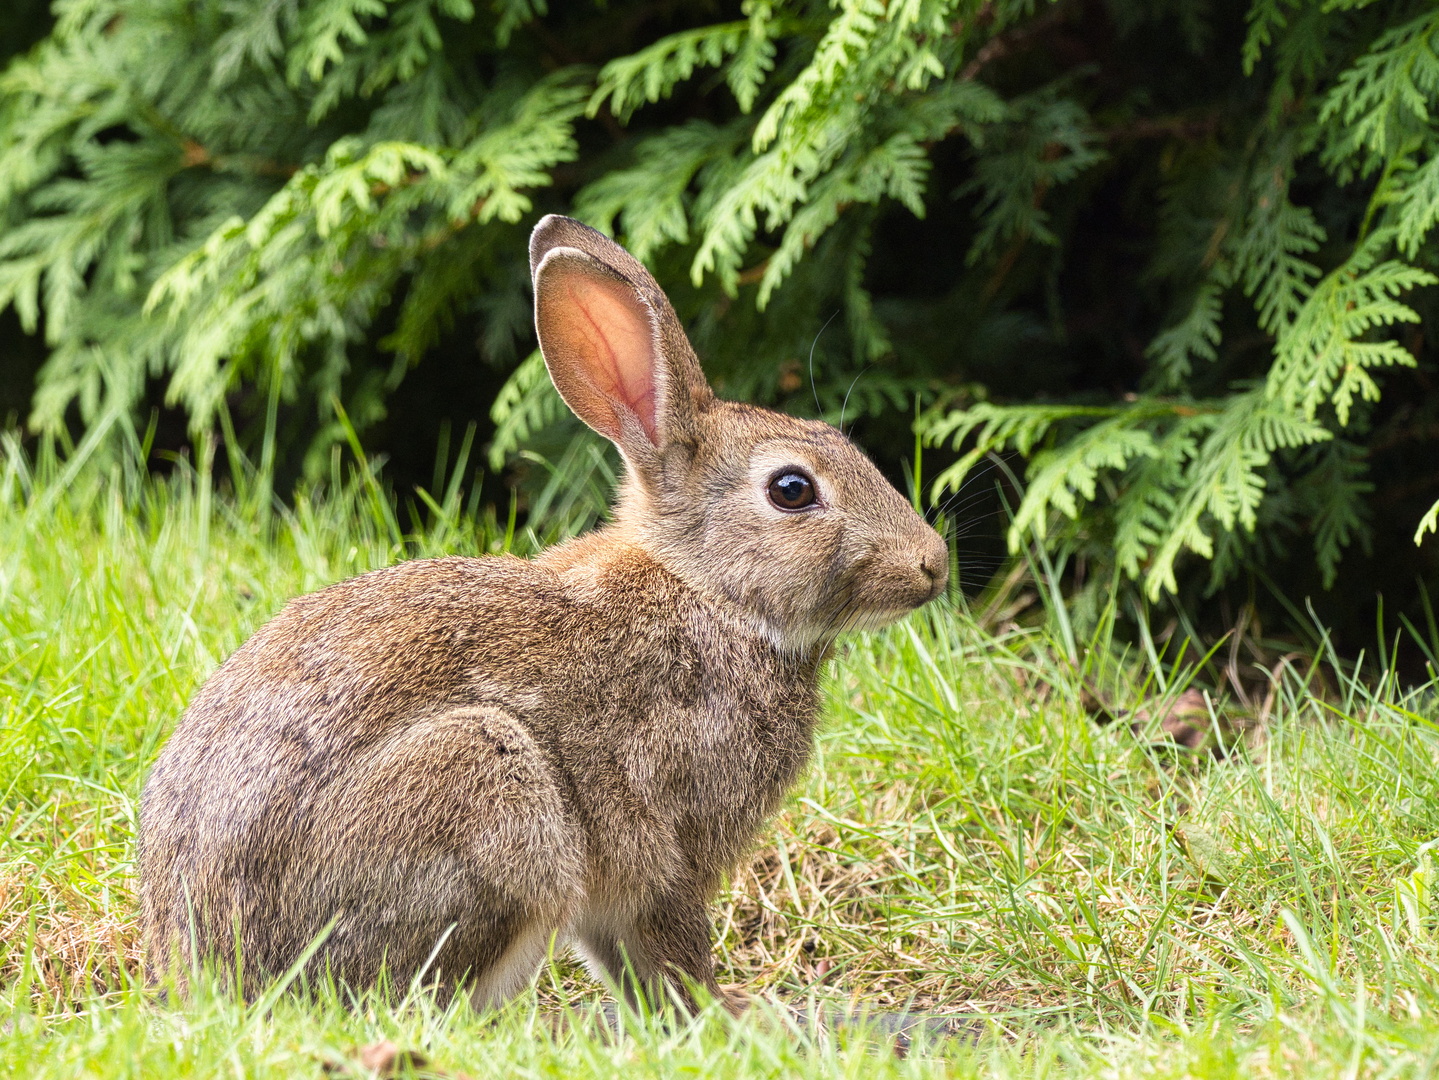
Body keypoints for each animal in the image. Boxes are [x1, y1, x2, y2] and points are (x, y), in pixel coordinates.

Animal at [132, 212, 943, 1012]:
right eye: (791, 489)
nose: (932, 564)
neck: (709, 592)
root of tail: (216, 973)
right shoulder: (670, 844)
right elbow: (672, 943)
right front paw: (725, 1014)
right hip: (486, 794)